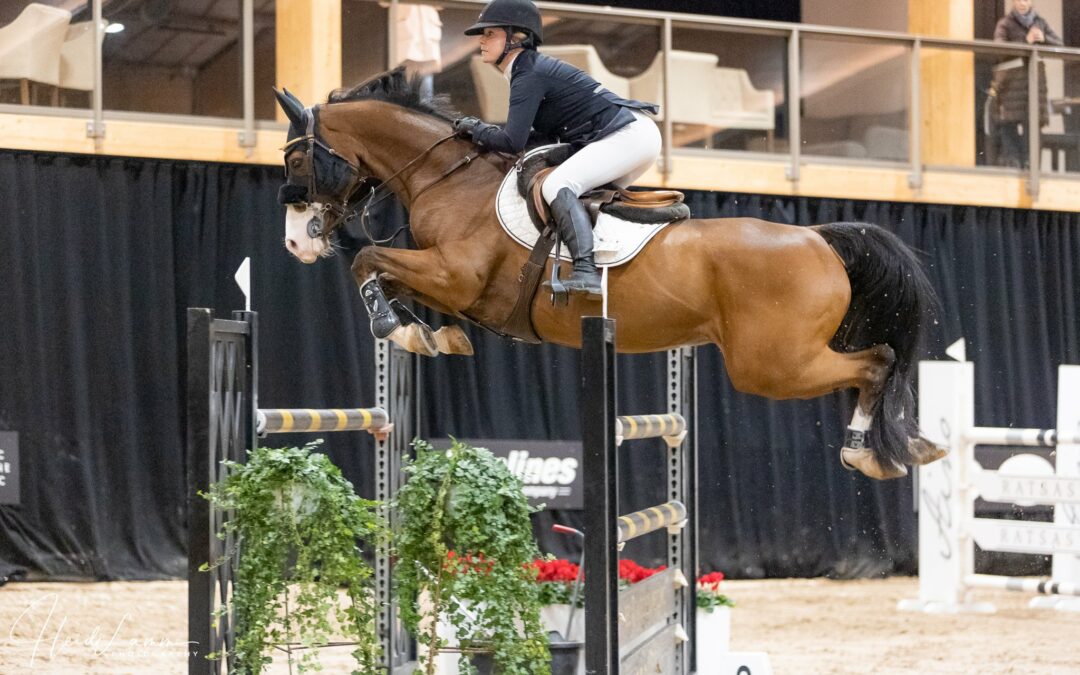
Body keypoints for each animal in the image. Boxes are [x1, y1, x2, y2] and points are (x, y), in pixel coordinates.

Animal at [272, 68, 944, 481]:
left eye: (298, 159)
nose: (294, 243)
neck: (449, 177)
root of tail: (818, 237)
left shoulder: (457, 275)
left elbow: (368, 261)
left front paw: (399, 328)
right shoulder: (446, 279)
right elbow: (387, 275)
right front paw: (428, 335)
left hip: (773, 364)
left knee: (877, 362)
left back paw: (870, 454)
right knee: (875, 365)